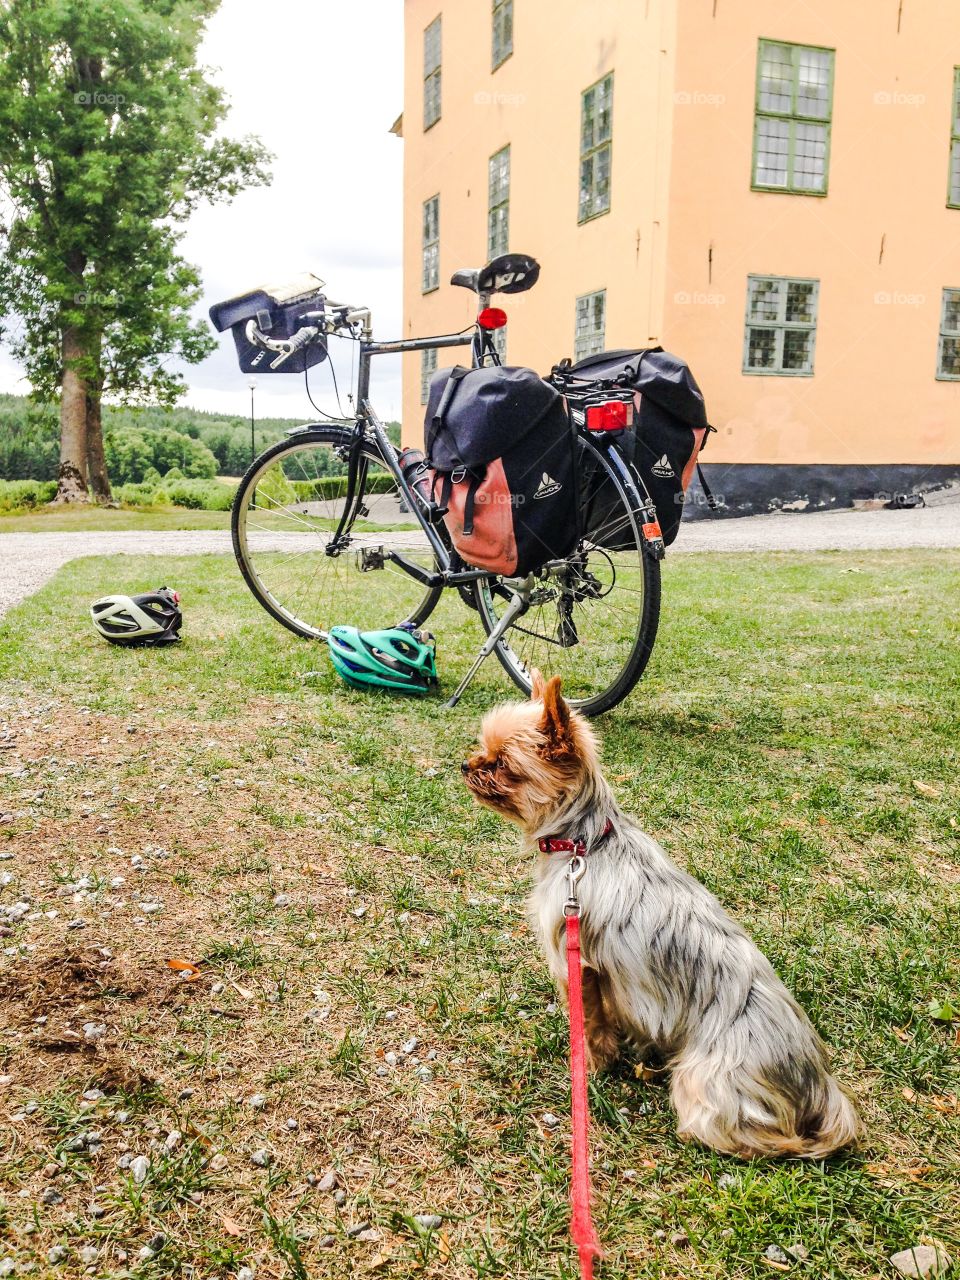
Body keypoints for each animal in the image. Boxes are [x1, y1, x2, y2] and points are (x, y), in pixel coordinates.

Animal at [463, 675, 860, 1167]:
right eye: (484, 749)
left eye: (502, 764)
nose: (467, 764)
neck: (582, 842)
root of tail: (820, 1090)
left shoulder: (580, 964)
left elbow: (590, 1025)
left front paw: (591, 1066)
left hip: (703, 1082)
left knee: (762, 1140)